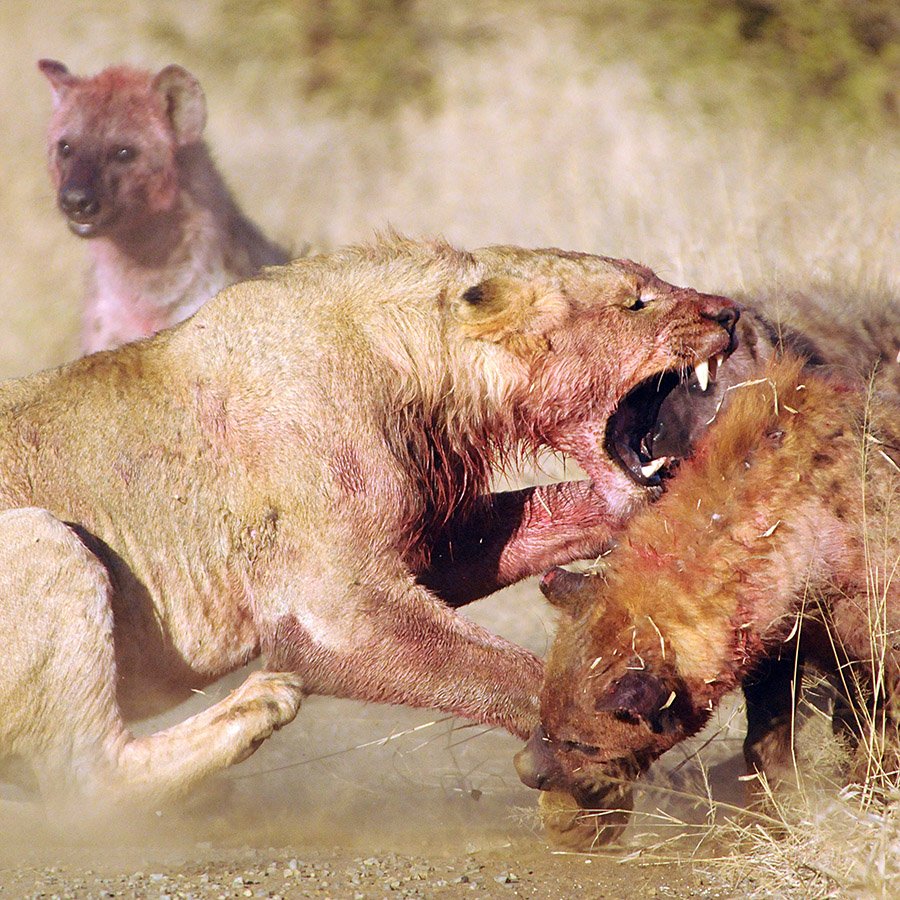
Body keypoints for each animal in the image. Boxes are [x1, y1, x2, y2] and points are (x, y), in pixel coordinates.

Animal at [0, 236, 739, 822]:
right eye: (636, 302)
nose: (729, 313)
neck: (419, 374)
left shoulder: (421, 534)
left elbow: (547, 514)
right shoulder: (335, 612)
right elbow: (505, 671)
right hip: (43, 541)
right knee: (80, 780)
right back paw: (259, 704)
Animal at [515, 352, 900, 850]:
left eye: (581, 744)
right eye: (544, 715)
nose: (527, 771)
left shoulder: (879, 635)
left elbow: (879, 734)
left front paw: (866, 807)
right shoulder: (778, 643)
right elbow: (767, 742)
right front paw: (770, 818)